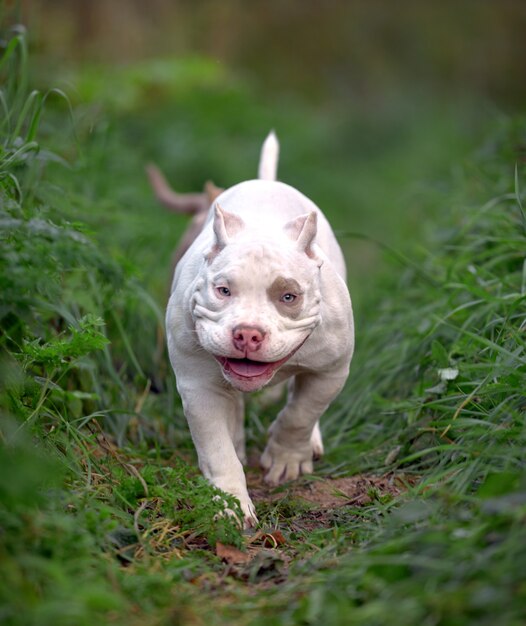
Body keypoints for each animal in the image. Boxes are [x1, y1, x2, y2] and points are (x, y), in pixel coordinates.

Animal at [163, 134, 356, 524]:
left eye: (289, 296)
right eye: (223, 290)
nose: (247, 334)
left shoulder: (331, 371)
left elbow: (301, 413)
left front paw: (287, 459)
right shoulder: (198, 385)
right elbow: (217, 448)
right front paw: (230, 502)